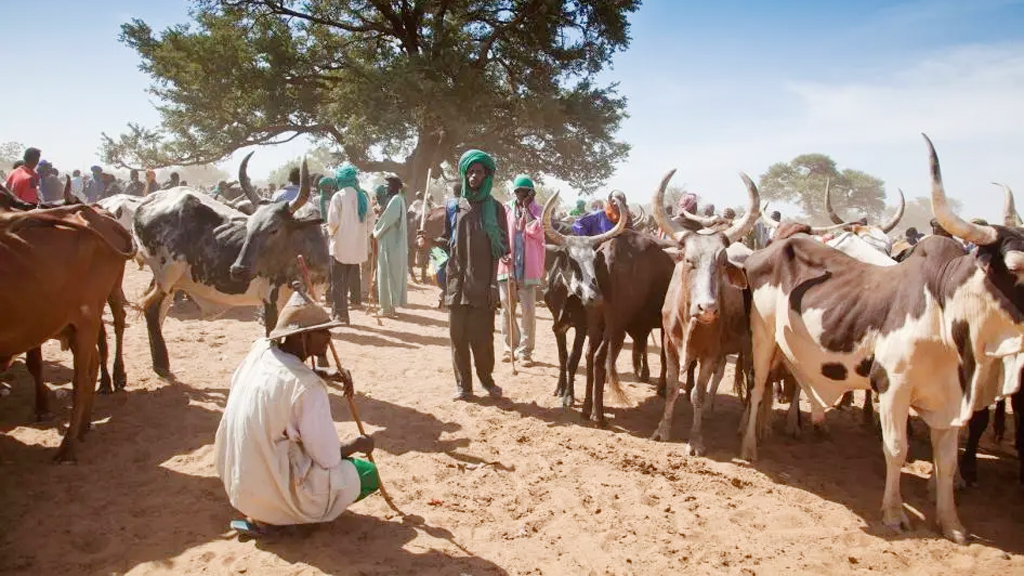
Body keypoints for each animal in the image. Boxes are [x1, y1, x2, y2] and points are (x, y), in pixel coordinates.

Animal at [0, 203, 134, 459]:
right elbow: (35, 364)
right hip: (77, 323)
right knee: (93, 360)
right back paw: (85, 423)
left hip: (93, 311)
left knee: (84, 374)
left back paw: (68, 446)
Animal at [134, 154, 327, 375]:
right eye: (248, 225)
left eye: (274, 229)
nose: (237, 270)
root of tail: (147, 201)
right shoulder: (271, 300)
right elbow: (273, 337)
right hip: (167, 272)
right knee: (151, 308)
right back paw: (161, 364)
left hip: (169, 281)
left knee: (157, 310)